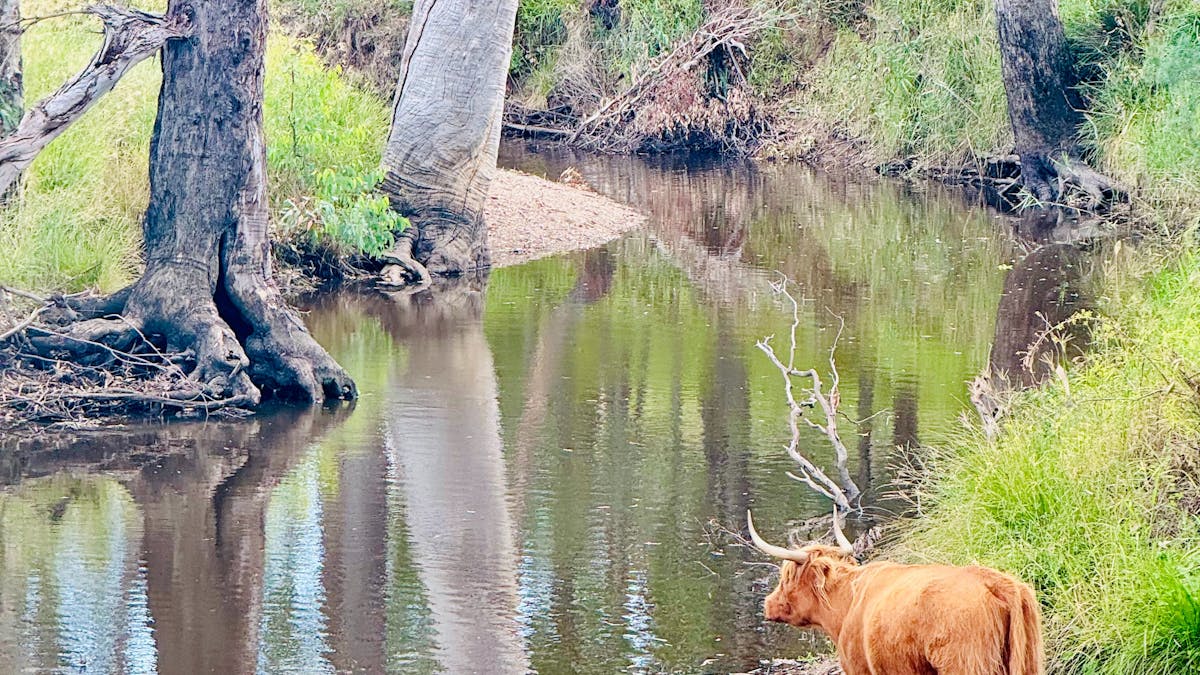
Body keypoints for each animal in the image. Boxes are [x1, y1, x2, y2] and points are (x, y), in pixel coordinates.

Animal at [747, 510, 1044, 675]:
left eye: (786, 577)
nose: (768, 604)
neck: (846, 604)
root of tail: (995, 581)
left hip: (965, 664)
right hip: (1027, 660)